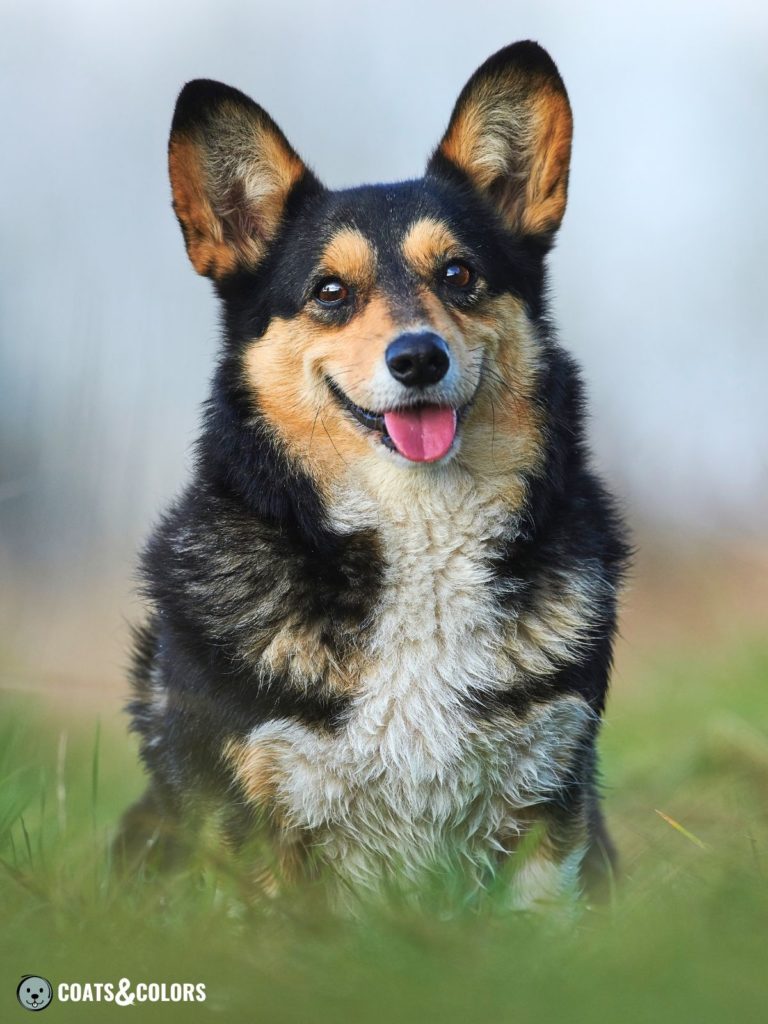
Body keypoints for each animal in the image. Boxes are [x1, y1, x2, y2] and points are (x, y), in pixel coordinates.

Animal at [123, 39, 630, 909]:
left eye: (459, 274)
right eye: (330, 291)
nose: (419, 358)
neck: (418, 527)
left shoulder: (546, 811)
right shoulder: (256, 826)